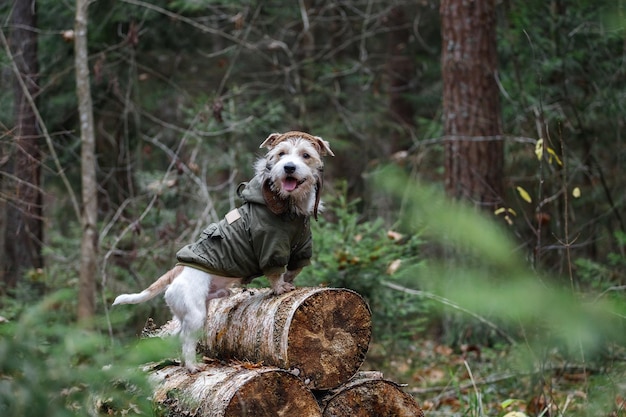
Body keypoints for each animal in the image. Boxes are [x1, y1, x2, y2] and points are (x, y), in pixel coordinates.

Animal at [114, 130, 334, 370]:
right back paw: (192, 366)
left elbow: (294, 269)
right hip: (196, 314)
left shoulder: (301, 248)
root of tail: (178, 269)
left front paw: (289, 282)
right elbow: (275, 272)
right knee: (187, 340)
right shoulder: (271, 246)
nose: (289, 168)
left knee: (178, 335)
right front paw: (280, 287)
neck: (287, 205)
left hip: (192, 312)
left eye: (306, 155)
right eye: (281, 154)